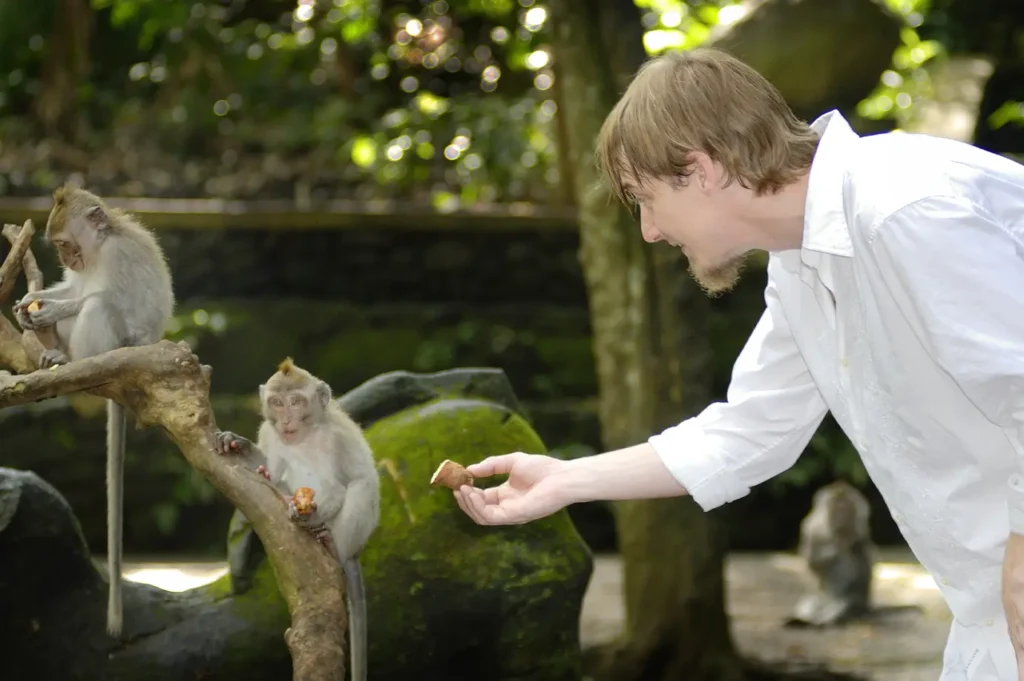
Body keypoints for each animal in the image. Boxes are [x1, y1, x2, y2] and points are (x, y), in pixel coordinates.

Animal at [12, 184, 175, 637]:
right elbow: (71, 288)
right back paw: (54, 352)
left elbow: (110, 300)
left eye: (66, 244)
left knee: (99, 307)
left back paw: (73, 361)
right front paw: (33, 299)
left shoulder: (120, 258)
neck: (100, 249)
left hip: (120, 348)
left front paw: (53, 309)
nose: (68, 258)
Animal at [214, 358, 380, 681]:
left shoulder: (335, 439)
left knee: (361, 485)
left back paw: (328, 542)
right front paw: (239, 444)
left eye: (296, 402)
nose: (287, 420)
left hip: (351, 534)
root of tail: (354, 553)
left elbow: (339, 487)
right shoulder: (269, 432)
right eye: (277, 403)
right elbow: (270, 469)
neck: (304, 436)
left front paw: (311, 514)